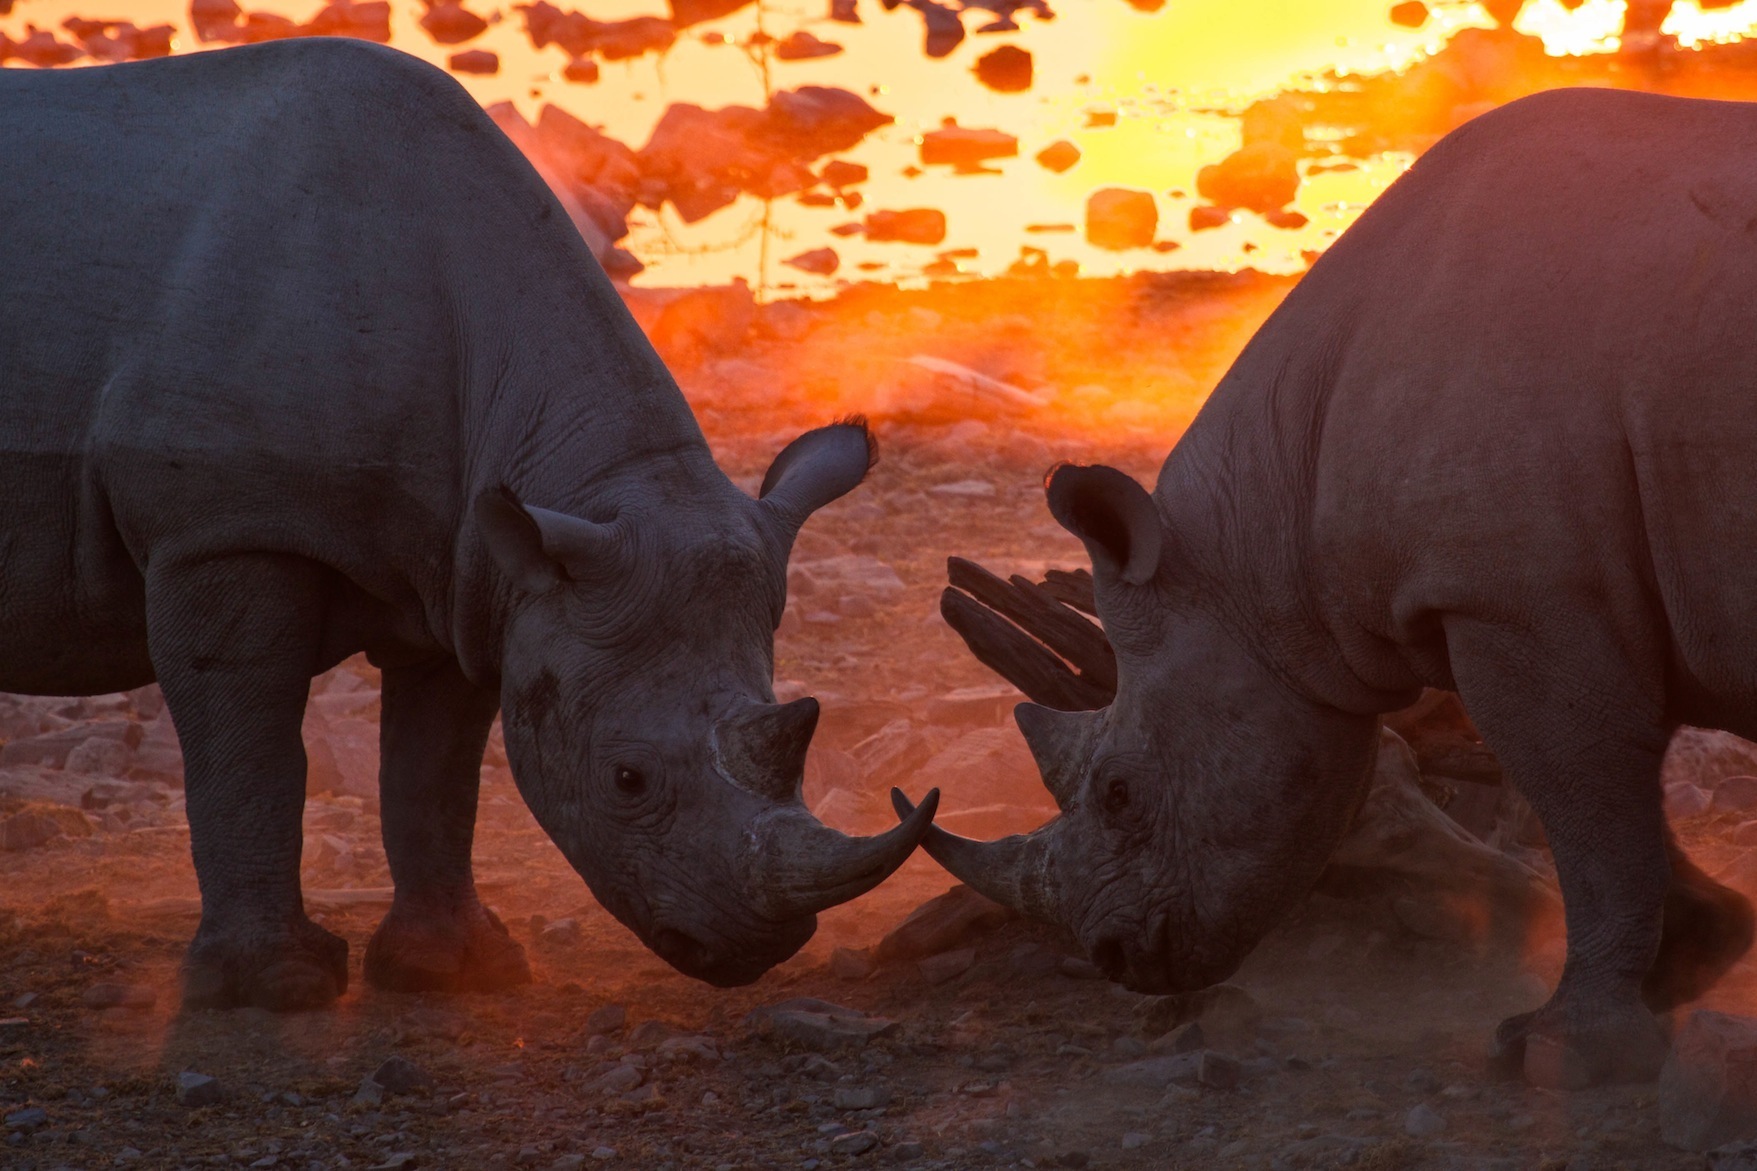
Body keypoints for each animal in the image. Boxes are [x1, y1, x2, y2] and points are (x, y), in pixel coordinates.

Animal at [0, 38, 938, 1010]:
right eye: (626, 778)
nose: (757, 948)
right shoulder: (222, 527)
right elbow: (251, 755)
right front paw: (276, 987)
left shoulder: (476, 565)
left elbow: (434, 771)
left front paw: (452, 972)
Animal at [899, 87, 1757, 1088]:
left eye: (1116, 793)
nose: (1115, 957)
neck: (1268, 533)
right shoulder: (1543, 605)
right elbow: (1605, 798)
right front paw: (1690, 960)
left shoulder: (1515, 601)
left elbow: (1586, 808)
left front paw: (1558, 1049)